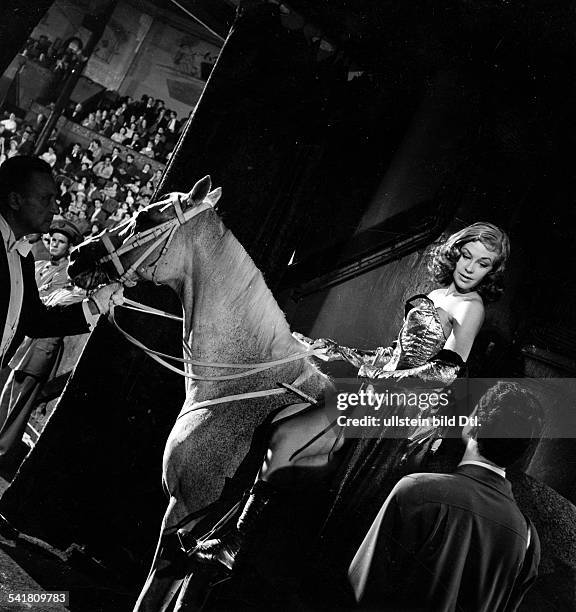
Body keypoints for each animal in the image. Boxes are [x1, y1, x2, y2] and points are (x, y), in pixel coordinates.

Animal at [69, 177, 330, 612]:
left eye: (145, 217)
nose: (76, 256)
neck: (242, 380)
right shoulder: (196, 552)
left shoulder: (182, 514)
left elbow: (152, 595)